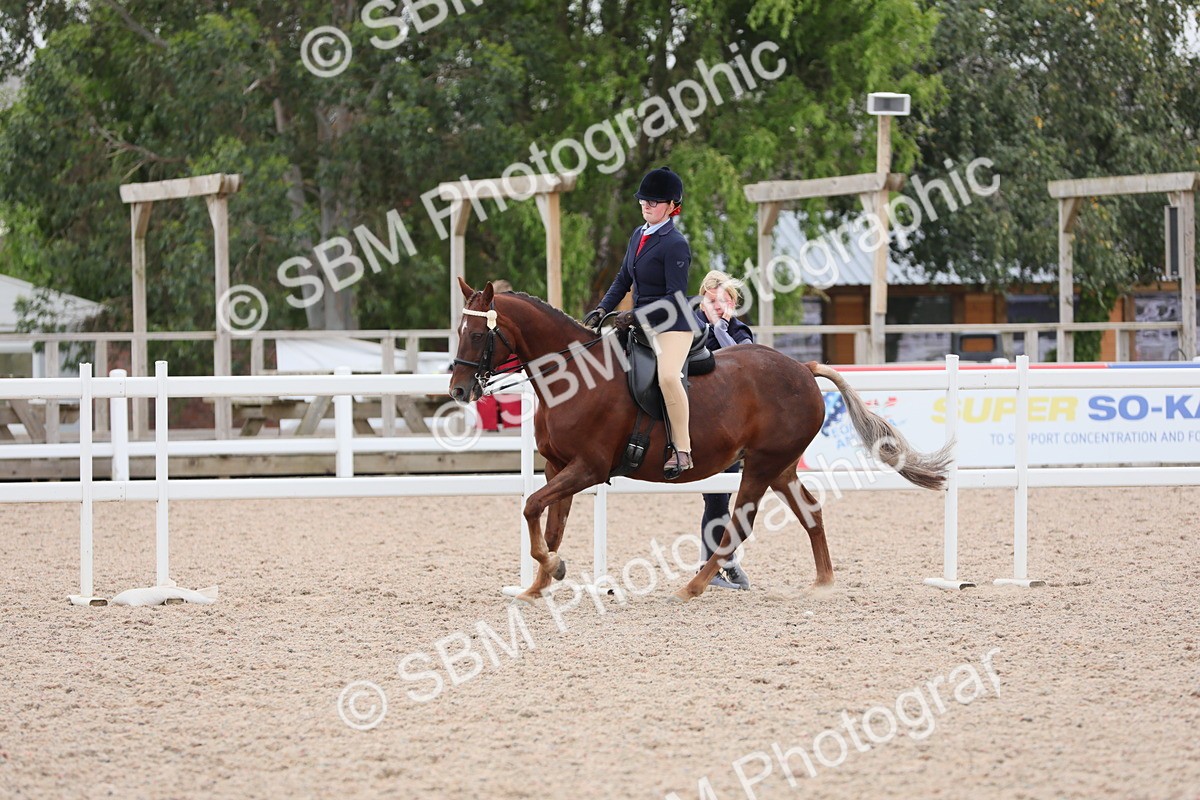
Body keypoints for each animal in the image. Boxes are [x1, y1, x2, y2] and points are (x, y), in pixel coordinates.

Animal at [448, 279, 951, 603]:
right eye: (458, 331)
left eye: (476, 334)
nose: (457, 391)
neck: (574, 376)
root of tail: (802, 368)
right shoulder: (558, 466)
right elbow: (549, 523)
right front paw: (540, 583)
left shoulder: (587, 468)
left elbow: (531, 506)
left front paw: (551, 570)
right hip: (781, 465)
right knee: (809, 511)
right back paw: (823, 583)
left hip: (761, 466)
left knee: (738, 524)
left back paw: (692, 588)